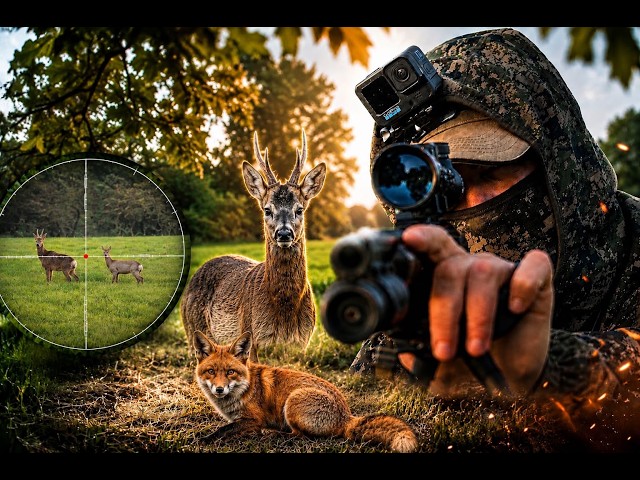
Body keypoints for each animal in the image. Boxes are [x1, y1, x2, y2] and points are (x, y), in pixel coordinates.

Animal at [180, 129, 326, 362]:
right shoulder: (252, 336)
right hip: (192, 327)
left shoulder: (302, 343)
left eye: (300, 209)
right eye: (267, 209)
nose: (284, 233)